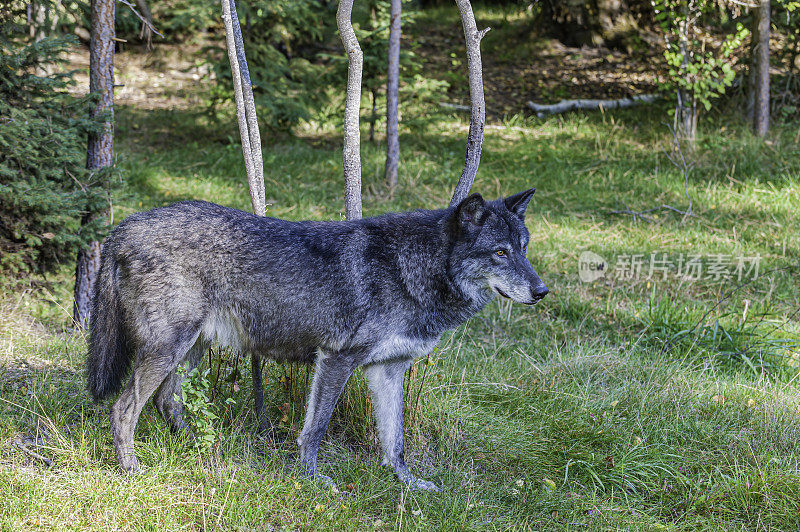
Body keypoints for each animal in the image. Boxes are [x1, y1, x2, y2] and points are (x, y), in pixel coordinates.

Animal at [89, 188, 552, 490]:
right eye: (499, 252)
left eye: (524, 248)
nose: (542, 291)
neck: (414, 269)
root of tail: (122, 227)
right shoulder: (336, 360)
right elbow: (315, 430)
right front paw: (311, 481)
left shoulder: (389, 371)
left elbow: (396, 441)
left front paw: (409, 484)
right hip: (168, 350)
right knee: (123, 408)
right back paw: (131, 471)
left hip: (190, 351)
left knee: (168, 402)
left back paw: (198, 451)